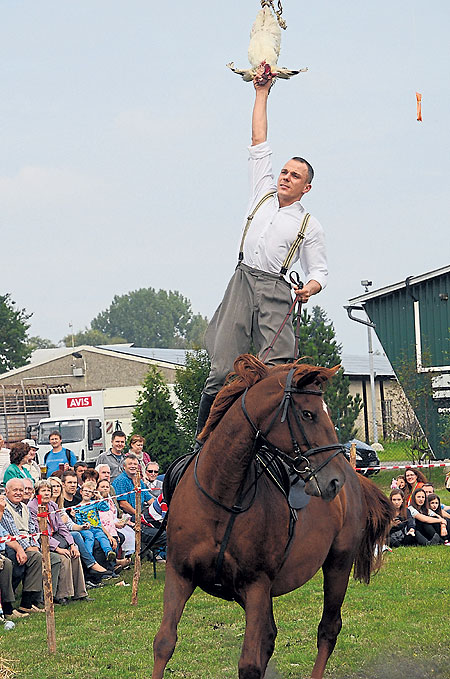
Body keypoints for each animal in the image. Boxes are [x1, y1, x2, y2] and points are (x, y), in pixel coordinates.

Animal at [153, 356, 392, 679]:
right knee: (270, 638)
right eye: (308, 414)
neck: (222, 494)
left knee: (328, 630)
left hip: (338, 564)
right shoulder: (180, 575)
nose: (334, 481)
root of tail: (355, 477)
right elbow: (164, 642)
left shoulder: (256, 585)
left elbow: (249, 664)